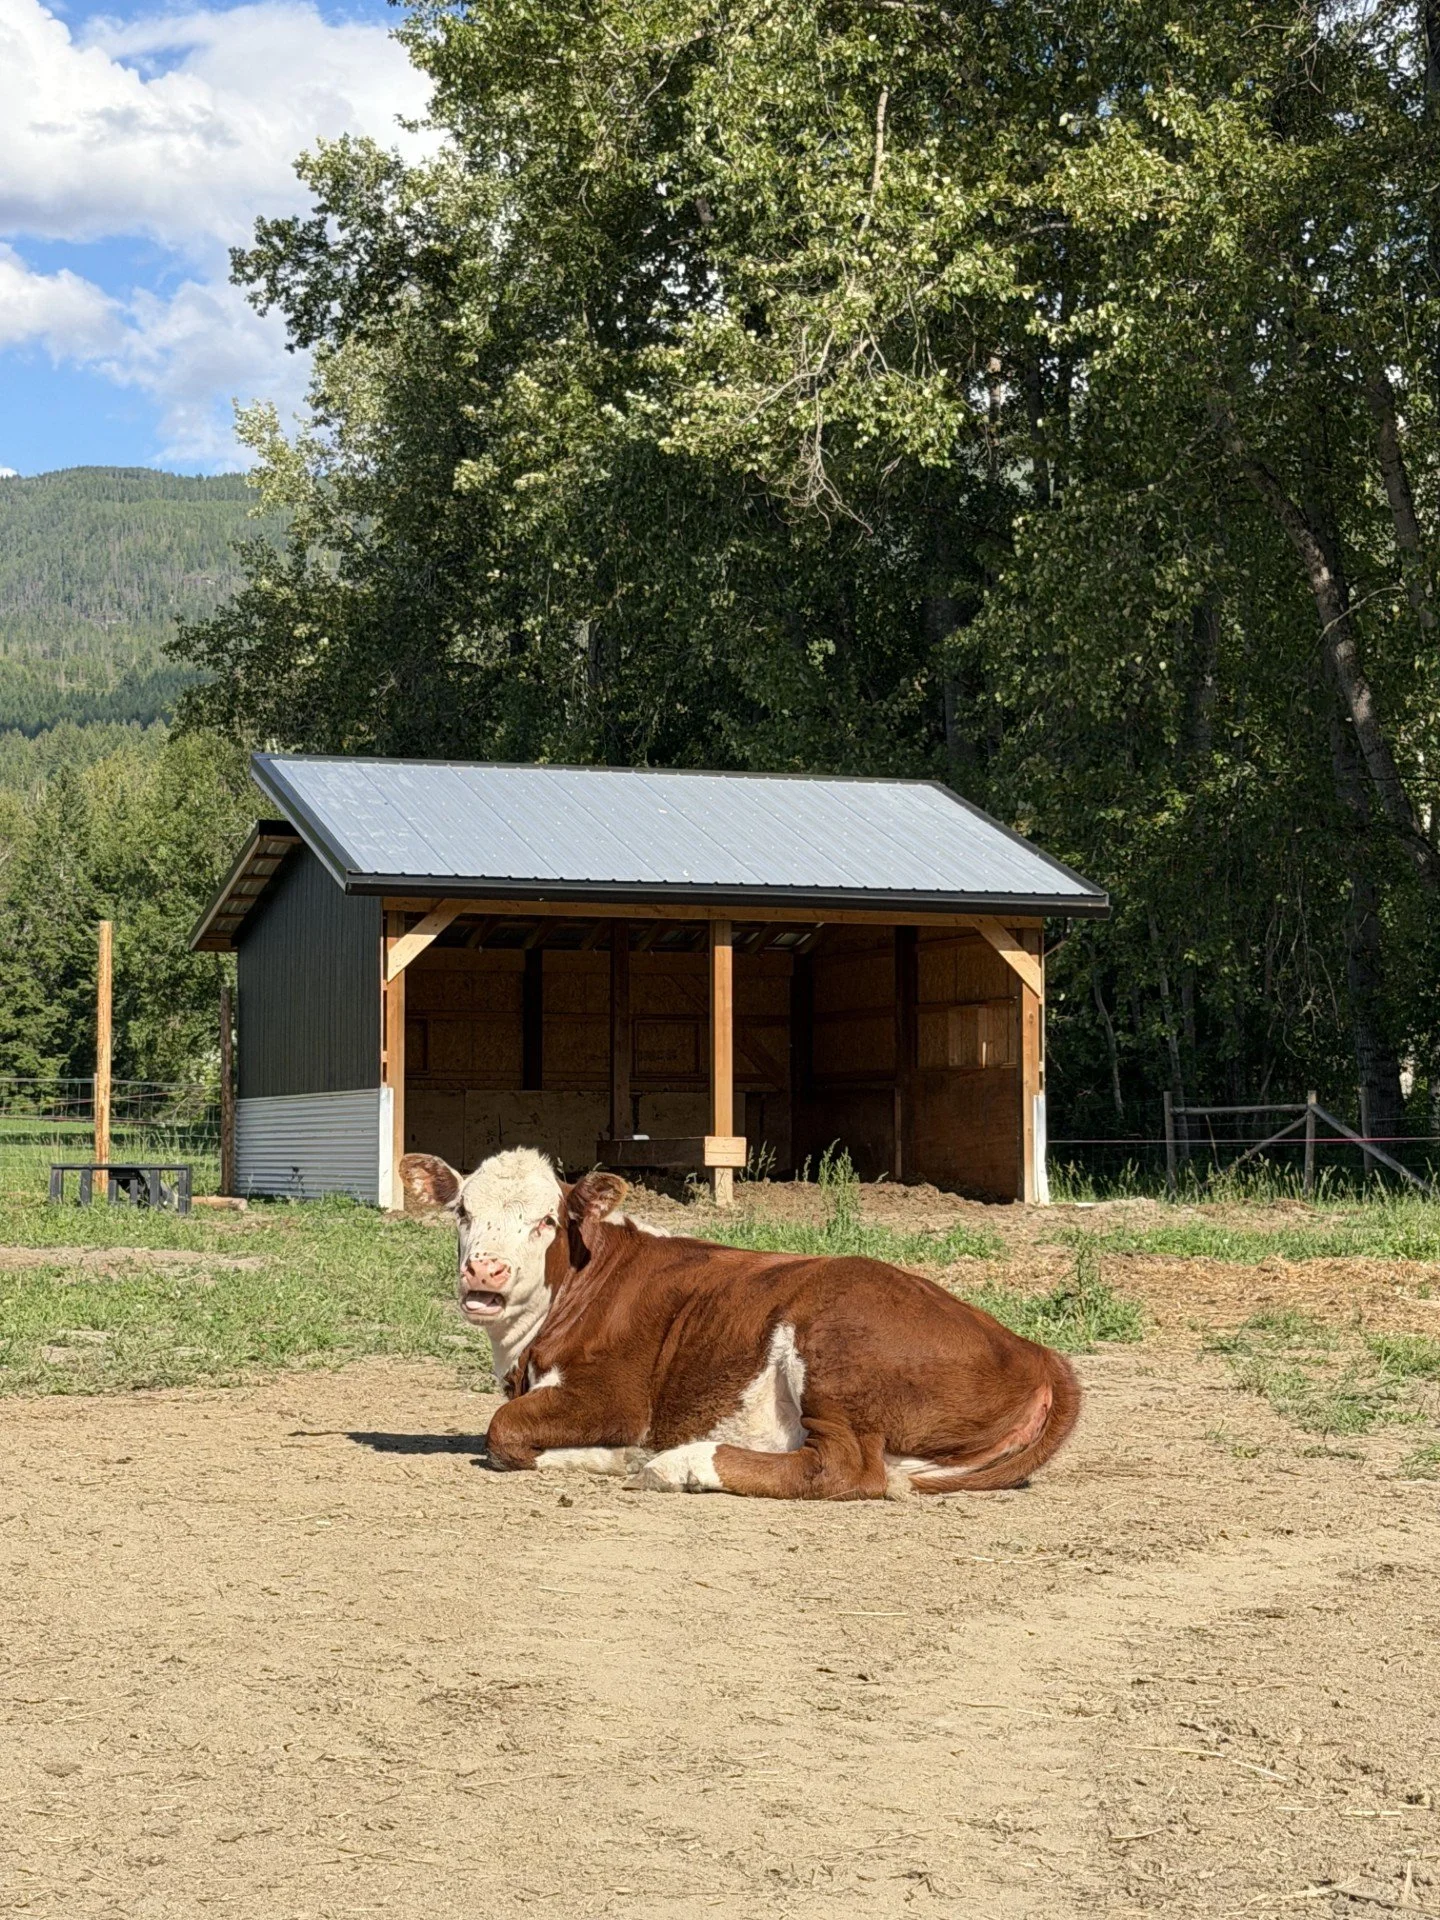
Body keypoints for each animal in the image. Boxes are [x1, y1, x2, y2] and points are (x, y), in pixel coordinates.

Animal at [399, 1146, 1080, 1499]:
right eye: (462, 1211)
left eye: (546, 1220)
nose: (485, 1271)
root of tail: (1032, 1348)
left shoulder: (613, 1395)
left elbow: (502, 1433)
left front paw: (622, 1455)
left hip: (836, 1350)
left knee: (843, 1468)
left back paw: (682, 1465)